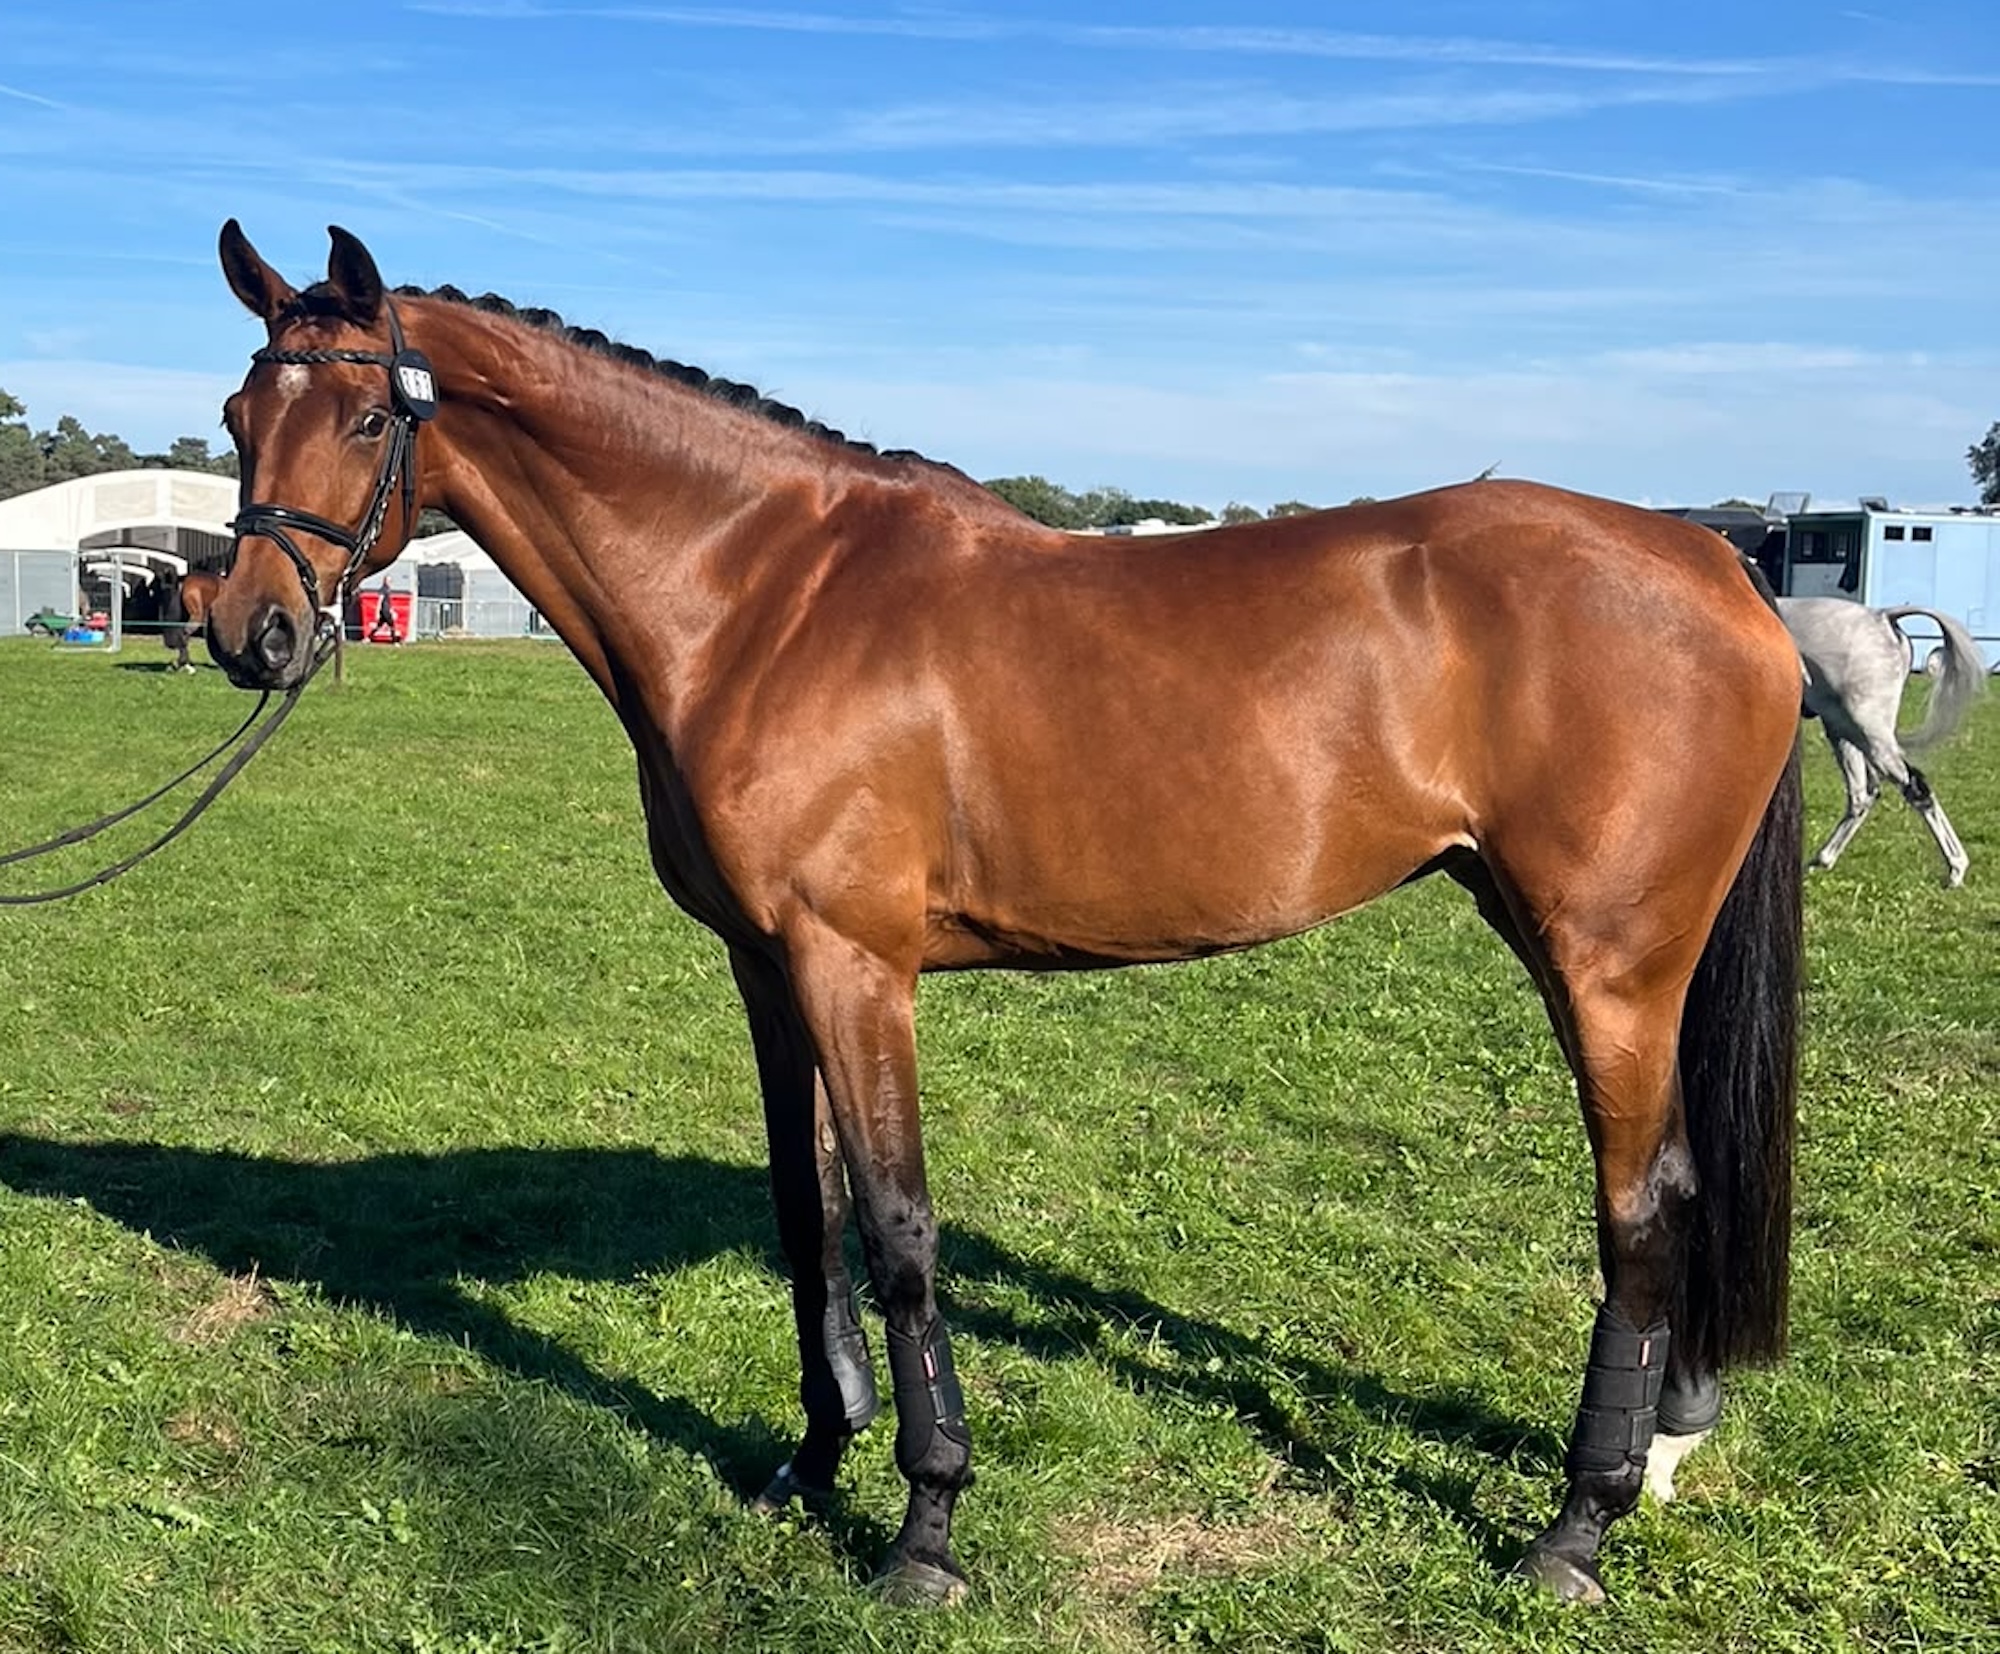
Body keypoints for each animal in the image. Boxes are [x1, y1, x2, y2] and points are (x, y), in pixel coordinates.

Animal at [199, 222, 1804, 1607]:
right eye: (235, 411)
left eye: (365, 420)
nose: (249, 631)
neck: (766, 596)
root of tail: (1715, 561)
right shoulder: (767, 970)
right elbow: (807, 1213)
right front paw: (811, 1458)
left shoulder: (857, 968)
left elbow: (900, 1229)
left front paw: (924, 1530)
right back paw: (1661, 1449)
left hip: (1605, 964)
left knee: (1643, 1205)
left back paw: (1573, 1528)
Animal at [1777, 596, 1984, 888]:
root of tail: (1882, 617)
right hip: (1844, 731)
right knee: (1863, 794)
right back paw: (1822, 860)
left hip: (1866, 733)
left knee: (1913, 787)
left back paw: (1956, 868)